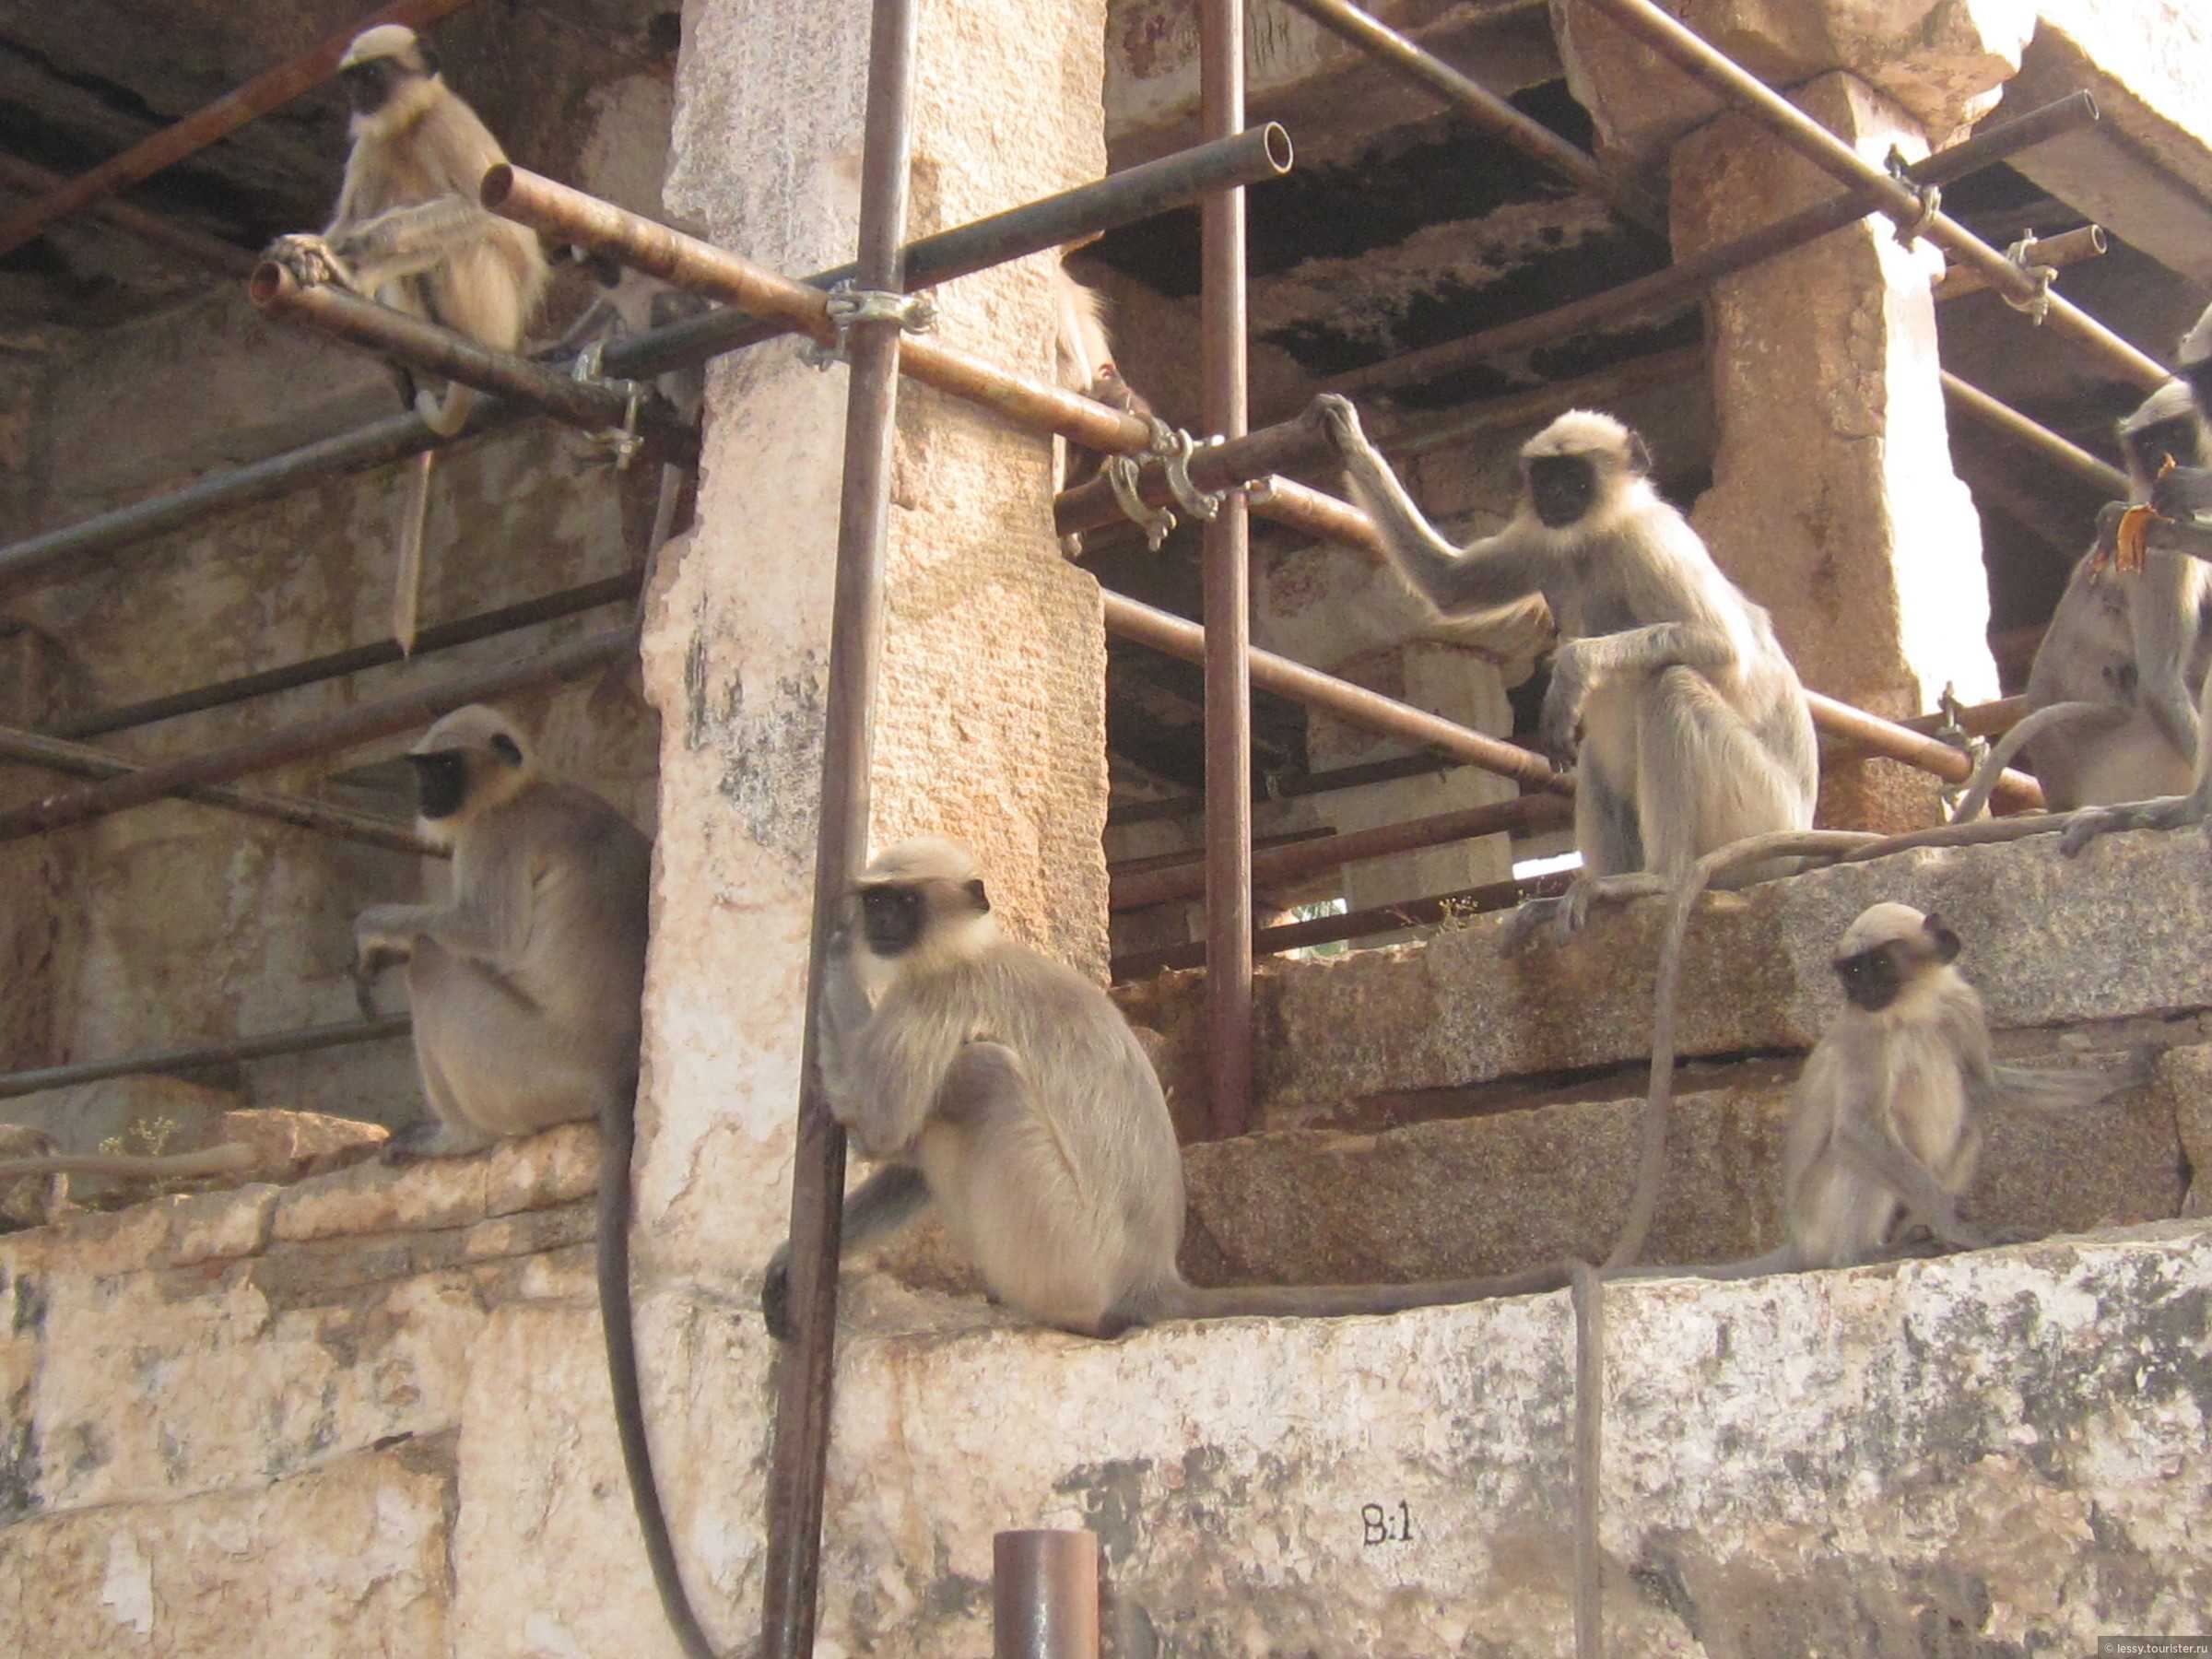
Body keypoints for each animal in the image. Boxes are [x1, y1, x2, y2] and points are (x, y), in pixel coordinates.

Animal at [264, 28, 553, 654]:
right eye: (352, 80)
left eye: (374, 76)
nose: (358, 100)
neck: (409, 122)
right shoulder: (372, 144)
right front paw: (307, 248)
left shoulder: (447, 123)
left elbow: (483, 215)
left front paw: (341, 252)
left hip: (487, 307)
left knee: (461, 237)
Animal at [351, 703, 716, 1659]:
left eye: (443, 767)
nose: (424, 794)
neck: (521, 787)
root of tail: (609, 1072)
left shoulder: (495, 840)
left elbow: (479, 932)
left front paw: (373, 930)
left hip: (519, 1068)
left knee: (436, 959)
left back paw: (454, 1134)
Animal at [770, 836, 1566, 1345]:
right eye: (879, 902)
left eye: (901, 904)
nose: (875, 925)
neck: (973, 950)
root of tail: (1152, 1277)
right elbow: (903, 1154)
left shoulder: (935, 993)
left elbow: (882, 1124)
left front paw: (832, 950)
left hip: (1063, 1248)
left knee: (982, 1074)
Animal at [1309, 391, 1814, 955]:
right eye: (1544, 476)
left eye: (1574, 476)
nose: (1552, 496)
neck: (1595, 539)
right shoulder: (1543, 542)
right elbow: (1448, 583)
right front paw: (1349, 439)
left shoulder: (1649, 539)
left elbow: (1725, 648)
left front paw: (1573, 667)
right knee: (1596, 751)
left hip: (1759, 811)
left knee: (1672, 682)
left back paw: (1659, 879)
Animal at [1955, 387, 2212, 831]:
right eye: (2148, 444)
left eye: (2178, 433)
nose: (2163, 460)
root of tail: (2060, 795)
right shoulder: (2157, 545)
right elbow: (2160, 680)